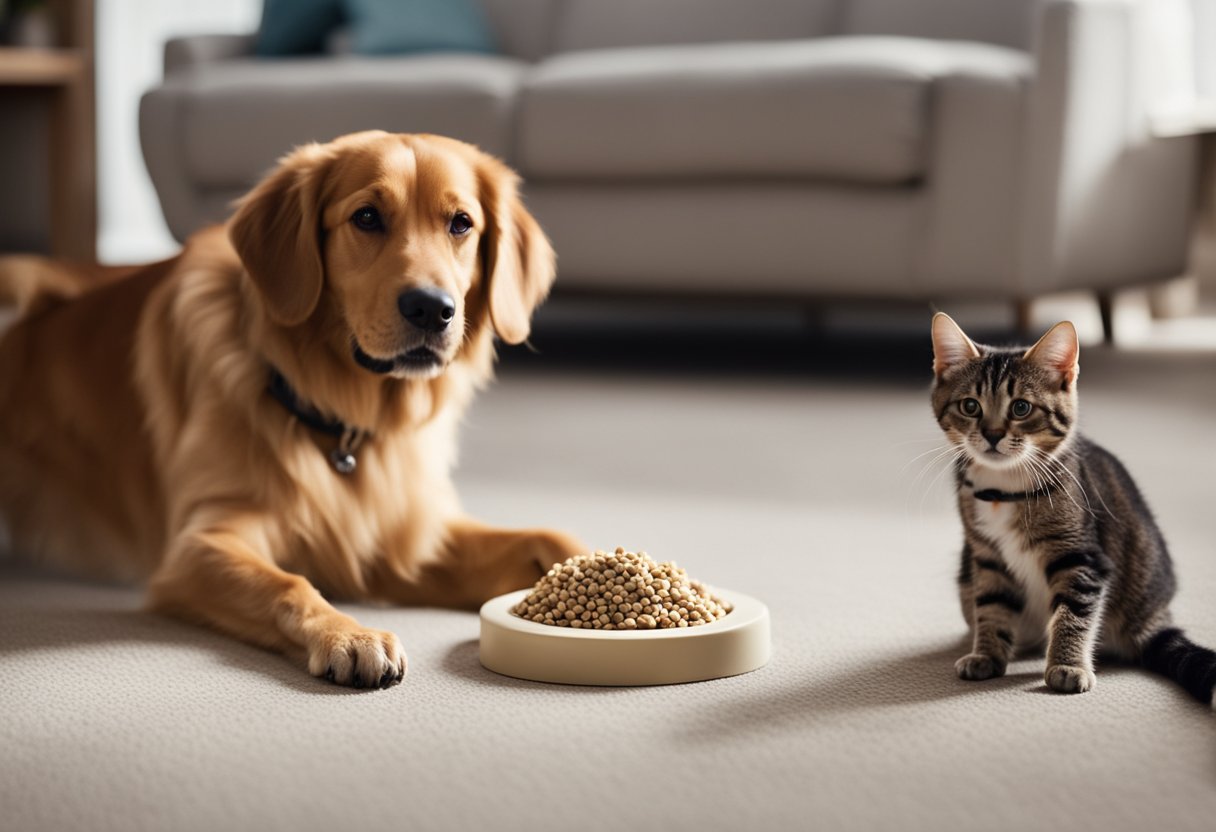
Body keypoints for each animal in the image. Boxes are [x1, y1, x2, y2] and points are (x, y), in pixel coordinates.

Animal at [0, 131, 583, 690]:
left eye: (461, 223)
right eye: (366, 217)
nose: (431, 309)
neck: (346, 423)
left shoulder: (405, 541)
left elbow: (547, 536)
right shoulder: (198, 545)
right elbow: (288, 583)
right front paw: (349, 635)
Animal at [933, 311, 1211, 700]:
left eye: (1021, 407)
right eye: (970, 406)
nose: (992, 434)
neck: (1004, 487)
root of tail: (1153, 615)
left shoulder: (1082, 556)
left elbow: (1073, 612)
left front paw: (1067, 665)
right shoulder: (985, 556)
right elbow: (991, 606)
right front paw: (986, 654)